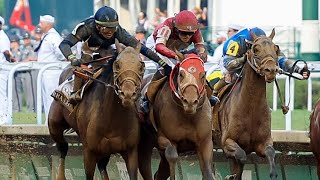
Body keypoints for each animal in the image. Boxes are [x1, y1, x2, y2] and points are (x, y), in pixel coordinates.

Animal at [47, 40, 145, 180]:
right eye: (117, 65)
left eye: (141, 65)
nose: (128, 94)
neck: (113, 120)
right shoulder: (89, 151)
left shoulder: (130, 151)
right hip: (54, 125)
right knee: (63, 148)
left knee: (102, 165)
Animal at [218, 28, 280, 179]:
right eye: (256, 49)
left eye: (276, 48)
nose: (271, 70)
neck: (251, 107)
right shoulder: (226, 141)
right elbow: (240, 157)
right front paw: (230, 176)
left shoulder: (263, 142)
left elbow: (270, 152)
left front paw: (273, 173)